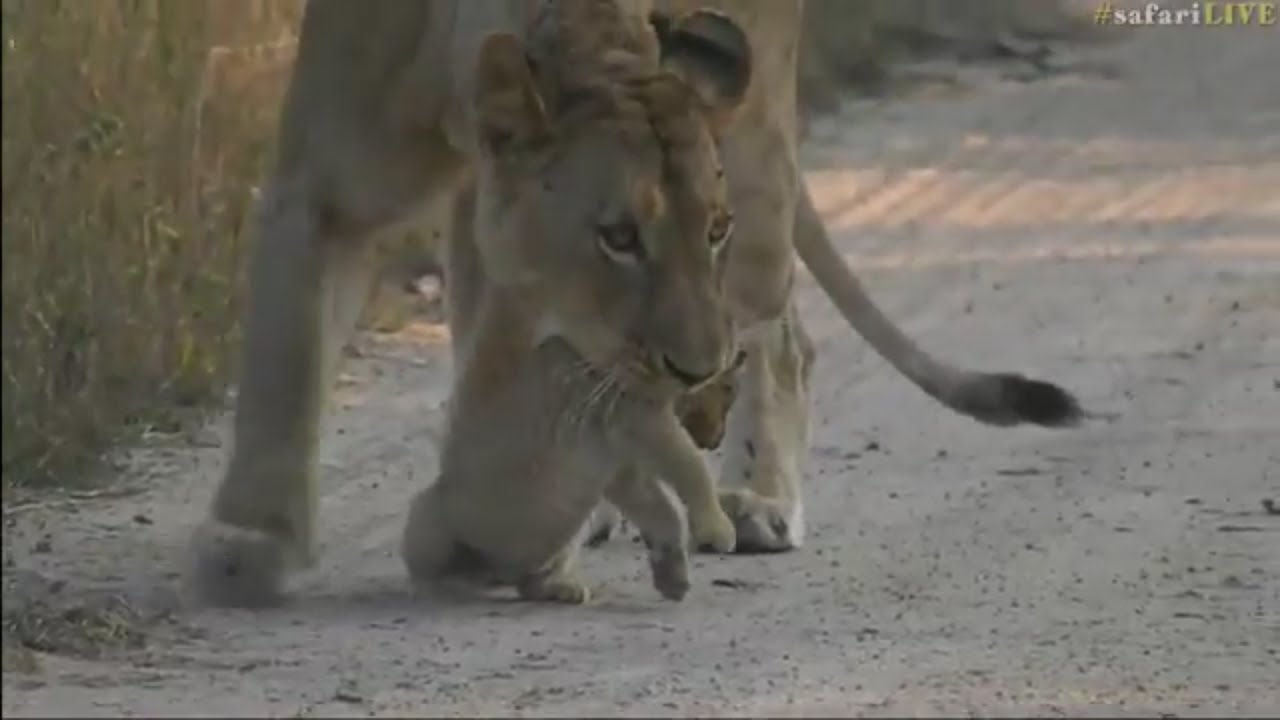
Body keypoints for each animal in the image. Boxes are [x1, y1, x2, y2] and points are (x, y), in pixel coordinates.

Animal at [186, 0, 1083, 608]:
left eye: (712, 230)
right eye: (618, 236)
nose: (693, 369)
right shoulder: (332, 182)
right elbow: (286, 359)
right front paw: (250, 543)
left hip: (757, 139)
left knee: (781, 333)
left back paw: (752, 496)